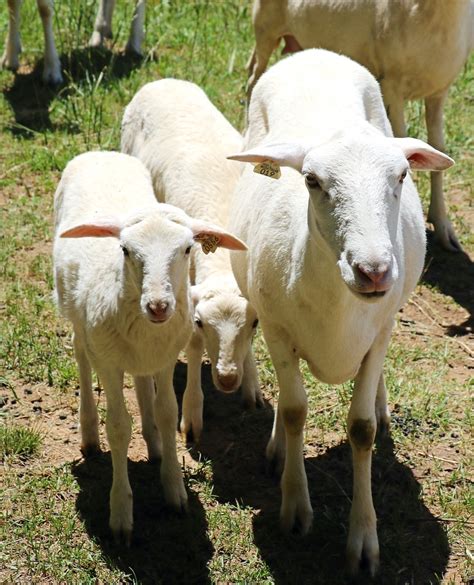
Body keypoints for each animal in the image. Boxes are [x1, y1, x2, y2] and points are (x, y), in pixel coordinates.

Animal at [52, 148, 246, 540]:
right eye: (125, 250)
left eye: (187, 249)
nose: (158, 306)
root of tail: (99, 152)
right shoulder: (108, 361)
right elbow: (118, 427)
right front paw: (120, 513)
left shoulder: (165, 356)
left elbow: (168, 411)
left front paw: (173, 489)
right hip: (77, 317)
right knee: (81, 357)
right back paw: (89, 432)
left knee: (142, 383)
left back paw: (154, 442)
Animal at [121, 78, 262, 442]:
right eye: (199, 322)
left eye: (254, 324)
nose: (227, 379)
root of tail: (162, 80)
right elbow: (195, 347)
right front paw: (192, 414)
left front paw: (251, 383)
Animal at [228, 49, 454, 576]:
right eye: (312, 181)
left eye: (401, 176)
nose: (373, 270)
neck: (339, 307)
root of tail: (314, 54)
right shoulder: (277, 328)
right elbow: (294, 410)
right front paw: (294, 507)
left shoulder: (379, 332)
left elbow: (361, 430)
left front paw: (363, 540)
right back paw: (276, 447)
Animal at [246, 0, 472, 249]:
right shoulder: (392, 84)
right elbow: (400, 135)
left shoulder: (440, 90)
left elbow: (438, 147)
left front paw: (444, 227)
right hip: (265, 25)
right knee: (253, 75)